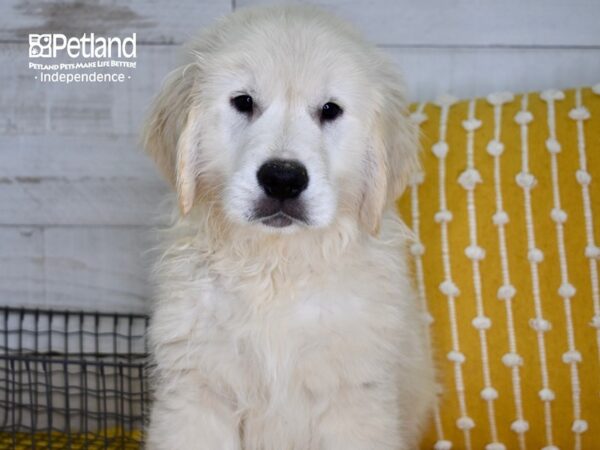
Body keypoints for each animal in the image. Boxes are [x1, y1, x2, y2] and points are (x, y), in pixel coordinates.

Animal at [144, 4, 436, 450]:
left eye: (330, 110)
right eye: (243, 102)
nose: (283, 179)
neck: (276, 266)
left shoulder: (353, 394)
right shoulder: (198, 386)